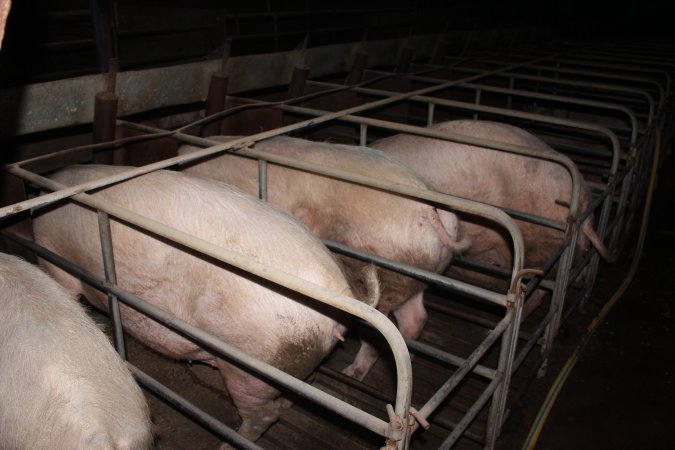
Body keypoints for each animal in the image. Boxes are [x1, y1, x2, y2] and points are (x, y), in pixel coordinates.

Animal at [33, 165, 364, 446]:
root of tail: (338, 297)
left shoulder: (53, 257)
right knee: (297, 389)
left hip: (253, 361)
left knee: (264, 415)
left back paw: (226, 444)